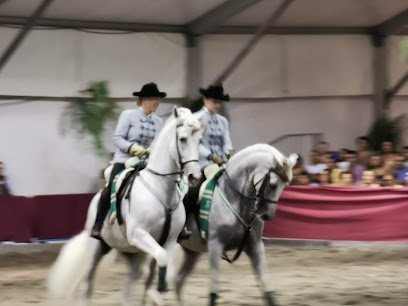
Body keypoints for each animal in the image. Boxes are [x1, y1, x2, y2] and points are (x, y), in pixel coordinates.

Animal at [47, 107, 204, 304]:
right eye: (182, 139)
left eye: (199, 140)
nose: (194, 177)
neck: (161, 190)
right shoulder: (139, 233)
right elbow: (161, 259)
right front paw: (158, 290)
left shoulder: (168, 241)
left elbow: (161, 267)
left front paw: (156, 293)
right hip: (96, 250)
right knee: (86, 284)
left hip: (133, 253)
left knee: (128, 288)